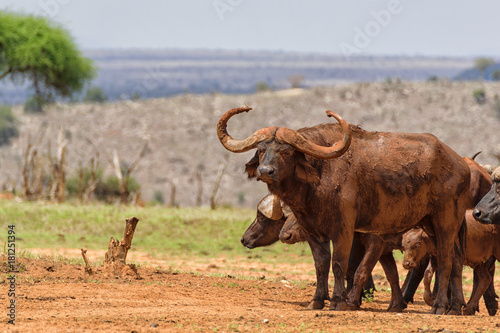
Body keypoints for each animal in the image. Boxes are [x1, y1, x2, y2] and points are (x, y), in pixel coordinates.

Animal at [217, 106, 470, 314]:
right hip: (430, 224)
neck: (318, 176)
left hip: (446, 221)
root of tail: (461, 164)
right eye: (261, 150)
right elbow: (321, 264)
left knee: (445, 259)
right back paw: (457, 307)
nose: (265, 171)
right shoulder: (312, 231)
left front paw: (339, 301)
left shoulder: (345, 229)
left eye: (286, 151)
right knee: (456, 260)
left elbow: (340, 263)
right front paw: (316, 301)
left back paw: (440, 306)